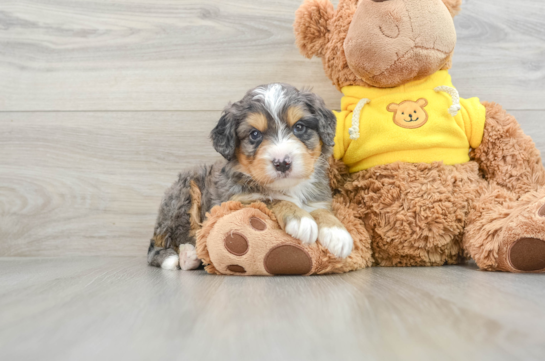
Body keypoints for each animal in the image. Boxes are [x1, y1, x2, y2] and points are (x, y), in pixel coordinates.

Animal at [149, 84, 352, 268]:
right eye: (255, 134)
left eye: (299, 127)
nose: (282, 163)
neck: (287, 186)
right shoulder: (235, 203)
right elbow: (271, 200)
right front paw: (300, 219)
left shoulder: (318, 198)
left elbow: (322, 211)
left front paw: (337, 233)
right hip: (186, 194)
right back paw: (187, 256)